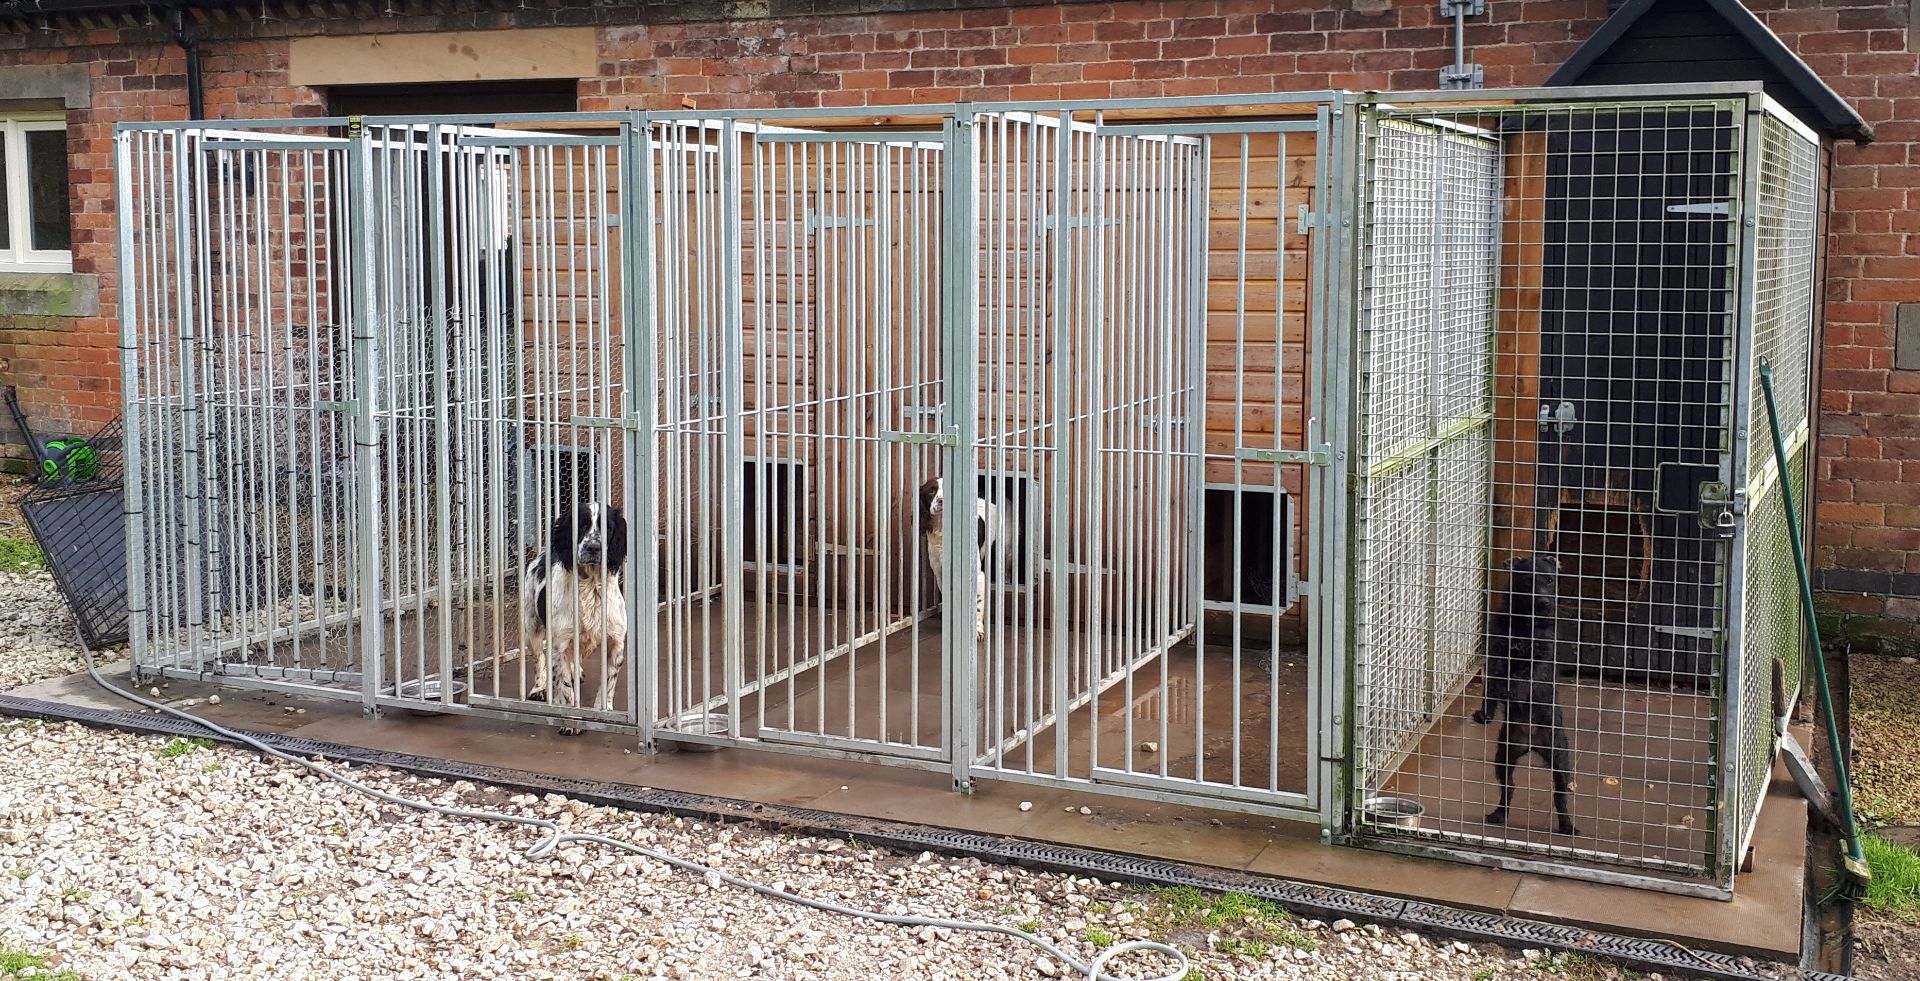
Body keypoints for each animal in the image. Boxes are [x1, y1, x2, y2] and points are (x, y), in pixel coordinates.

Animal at [1474, 556, 1582, 840]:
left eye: (1550, 580)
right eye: (1527, 580)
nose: (1544, 602)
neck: (1525, 624)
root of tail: (1531, 743)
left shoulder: (1540, 659)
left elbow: (1525, 678)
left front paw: (1514, 691)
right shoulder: (1497, 655)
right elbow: (1491, 688)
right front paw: (1485, 712)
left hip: (1560, 758)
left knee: (1560, 795)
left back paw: (1567, 826)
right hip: (1504, 755)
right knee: (1509, 787)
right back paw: (1499, 814)